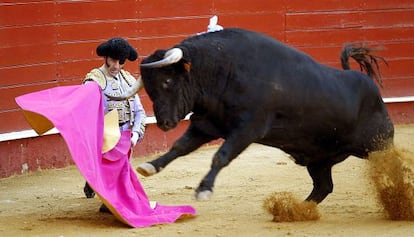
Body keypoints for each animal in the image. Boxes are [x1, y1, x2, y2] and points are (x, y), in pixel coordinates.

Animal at [135, 28, 392, 204]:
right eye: (149, 89)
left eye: (168, 81)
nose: (165, 123)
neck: (224, 69)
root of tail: (371, 89)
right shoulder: (206, 125)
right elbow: (179, 147)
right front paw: (150, 166)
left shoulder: (247, 129)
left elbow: (220, 156)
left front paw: (204, 189)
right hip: (319, 158)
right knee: (323, 186)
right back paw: (298, 210)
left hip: (377, 145)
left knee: (389, 166)